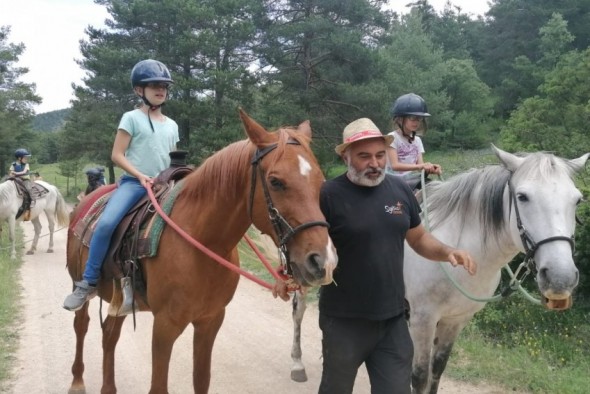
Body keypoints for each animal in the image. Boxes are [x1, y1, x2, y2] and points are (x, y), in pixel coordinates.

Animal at [66, 109, 338, 394]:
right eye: (276, 182)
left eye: (320, 181)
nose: (323, 261)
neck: (203, 244)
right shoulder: (164, 326)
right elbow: (158, 386)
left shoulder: (210, 321)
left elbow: (201, 379)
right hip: (79, 283)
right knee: (81, 325)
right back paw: (77, 381)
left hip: (119, 300)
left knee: (109, 335)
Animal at [286, 145, 588, 394]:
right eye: (523, 197)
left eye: (577, 200)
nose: (560, 278)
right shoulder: (423, 318)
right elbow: (419, 376)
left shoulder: (456, 320)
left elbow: (437, 371)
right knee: (299, 311)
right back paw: (297, 364)